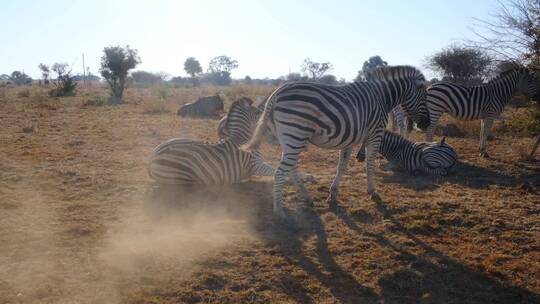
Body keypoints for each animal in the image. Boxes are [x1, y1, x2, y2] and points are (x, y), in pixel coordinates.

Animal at [245, 65, 430, 218]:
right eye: (424, 97)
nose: (425, 124)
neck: (382, 97)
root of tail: (276, 93)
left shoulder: (350, 138)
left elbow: (342, 166)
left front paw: (333, 194)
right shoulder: (375, 134)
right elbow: (369, 164)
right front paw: (373, 191)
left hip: (288, 139)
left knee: (291, 168)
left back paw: (306, 198)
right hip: (295, 134)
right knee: (280, 172)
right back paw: (279, 211)